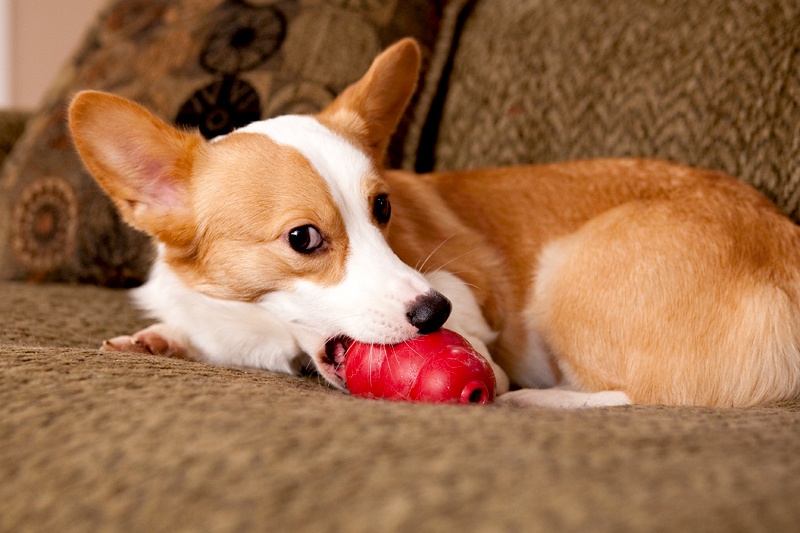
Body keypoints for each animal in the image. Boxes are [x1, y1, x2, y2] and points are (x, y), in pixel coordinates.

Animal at [67, 38, 800, 408]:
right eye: (303, 239)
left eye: (383, 208)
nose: (433, 312)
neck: (261, 331)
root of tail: (785, 245)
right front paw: (158, 341)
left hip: (570, 278)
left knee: (634, 396)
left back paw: (532, 401)